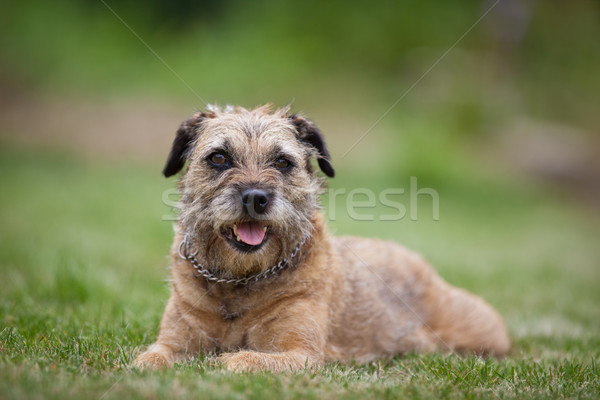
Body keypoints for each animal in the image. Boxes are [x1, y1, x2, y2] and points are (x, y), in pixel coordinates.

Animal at [134, 105, 508, 372]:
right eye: (219, 157)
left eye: (282, 162)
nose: (255, 197)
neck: (240, 281)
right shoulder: (173, 342)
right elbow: (148, 359)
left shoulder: (301, 354)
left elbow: (244, 359)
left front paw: (225, 360)